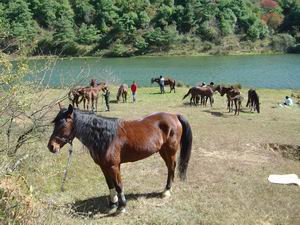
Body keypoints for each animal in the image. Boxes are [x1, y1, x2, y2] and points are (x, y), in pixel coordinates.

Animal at [47, 104, 192, 214]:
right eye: (55, 123)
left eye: (63, 125)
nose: (51, 146)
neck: (105, 137)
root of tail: (174, 116)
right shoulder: (103, 166)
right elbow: (110, 184)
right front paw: (112, 205)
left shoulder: (114, 166)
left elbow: (118, 185)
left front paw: (121, 207)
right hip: (163, 151)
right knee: (169, 167)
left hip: (170, 151)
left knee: (171, 167)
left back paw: (166, 191)